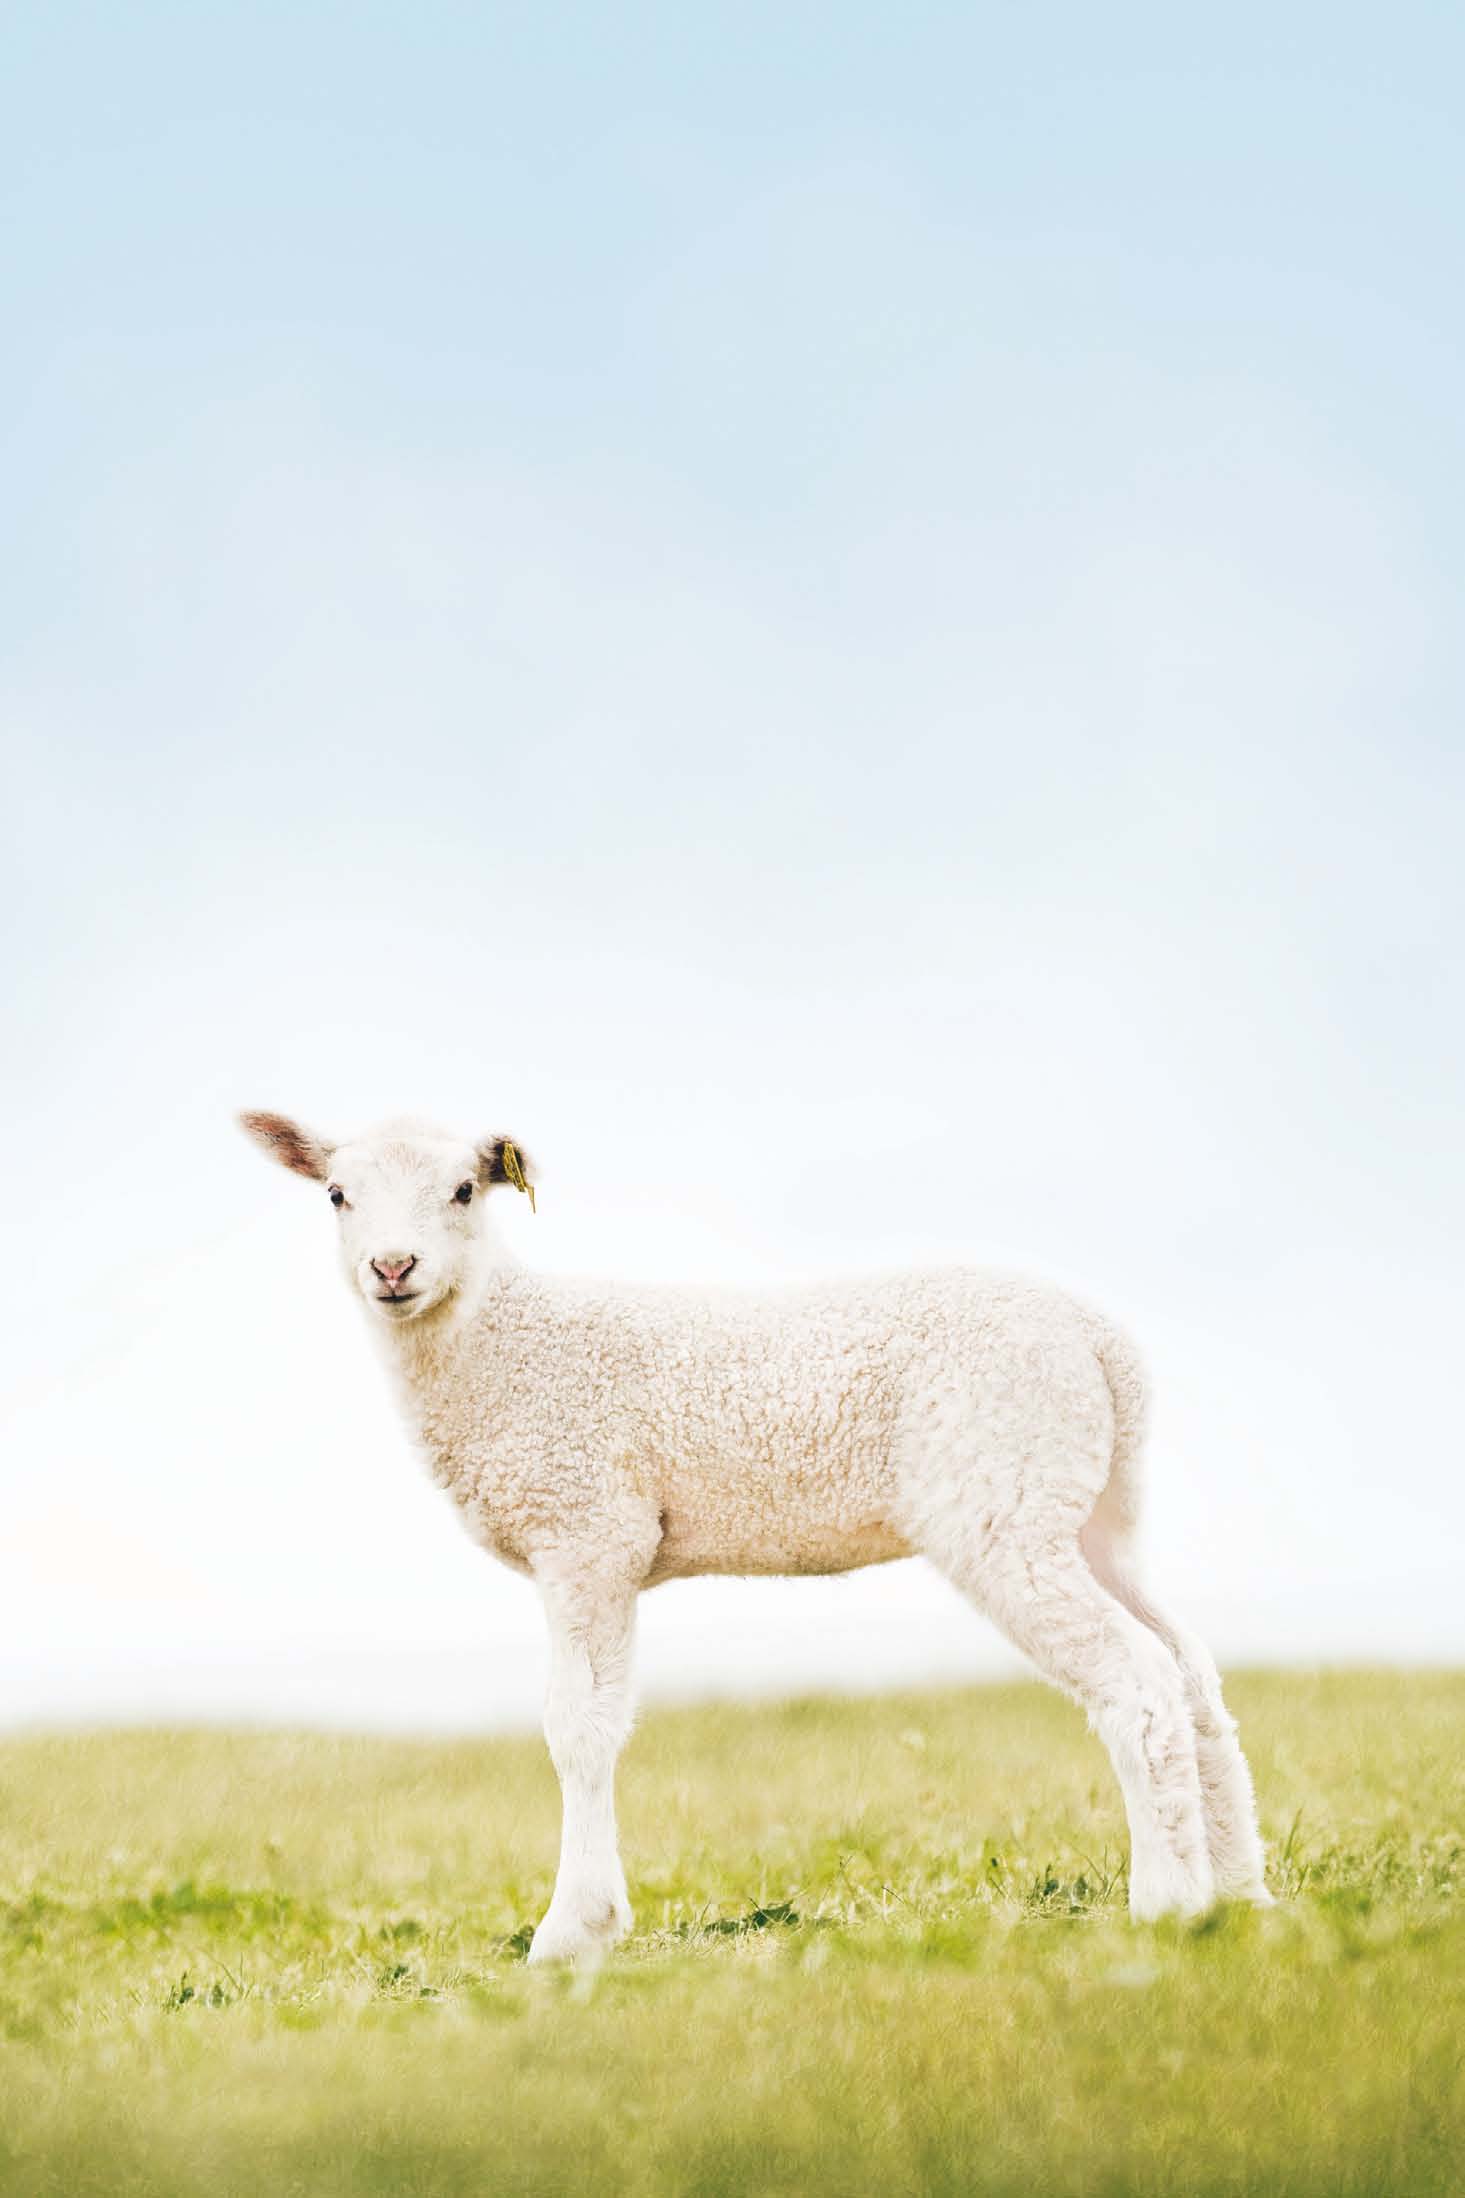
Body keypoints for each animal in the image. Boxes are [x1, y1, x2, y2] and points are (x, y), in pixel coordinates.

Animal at [240, 1107, 1273, 1969]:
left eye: (462, 1190)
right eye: (336, 1194)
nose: (392, 1268)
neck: (500, 1344)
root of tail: (1102, 1342)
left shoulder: (589, 1530)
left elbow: (578, 1730)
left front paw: (573, 1933)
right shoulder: (592, 1537)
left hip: (1003, 1499)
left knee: (1136, 1680)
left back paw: (1166, 1902)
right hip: (1092, 1506)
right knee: (1190, 1673)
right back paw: (1237, 1892)